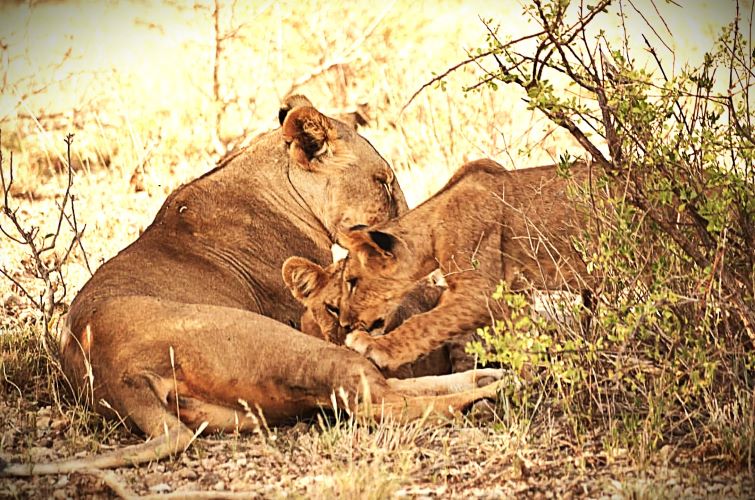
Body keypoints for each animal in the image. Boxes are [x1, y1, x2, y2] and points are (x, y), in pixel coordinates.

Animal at [0, 98, 504, 476]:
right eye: (383, 182)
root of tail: (113, 374)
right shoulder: (303, 310)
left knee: (373, 390)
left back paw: (486, 379)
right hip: (282, 342)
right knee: (374, 400)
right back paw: (483, 393)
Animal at [333, 159, 596, 372]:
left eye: (352, 282)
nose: (344, 324)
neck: (432, 228)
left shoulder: (482, 293)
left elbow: (424, 323)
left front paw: (373, 346)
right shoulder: (512, 293)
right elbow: (518, 342)